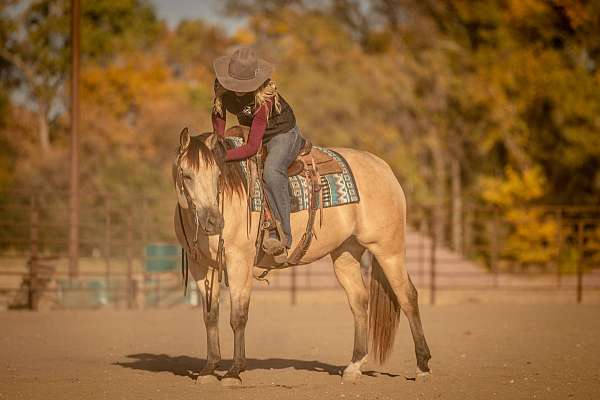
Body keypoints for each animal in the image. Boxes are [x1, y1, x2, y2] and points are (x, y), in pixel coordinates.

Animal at [171, 129, 428, 388]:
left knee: (407, 297)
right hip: (346, 254)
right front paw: (208, 369)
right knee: (359, 301)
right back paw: (354, 366)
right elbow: (210, 316)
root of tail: (384, 168)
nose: (213, 221)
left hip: (388, 250)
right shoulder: (201, 266)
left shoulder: (239, 262)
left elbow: (238, 317)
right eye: (186, 175)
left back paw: (423, 366)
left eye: (217, 175)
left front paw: (234, 372)